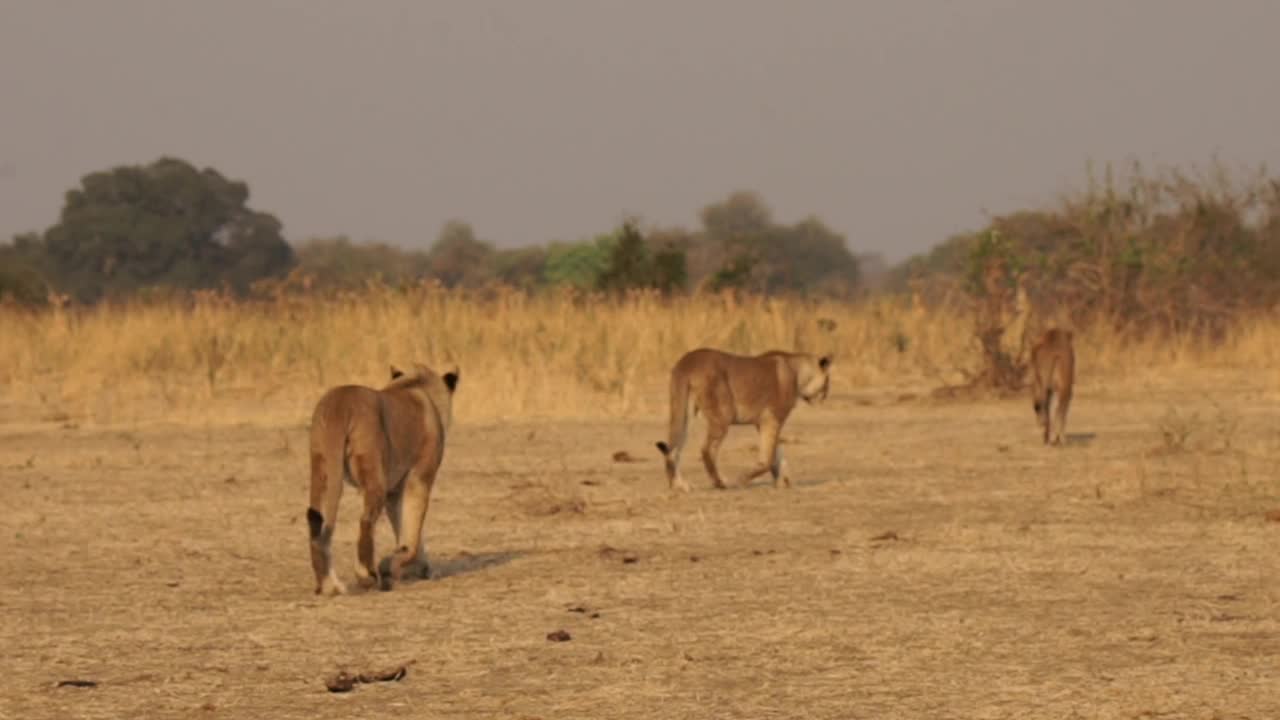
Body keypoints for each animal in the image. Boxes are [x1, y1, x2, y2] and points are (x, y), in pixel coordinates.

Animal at [304, 361, 460, 591]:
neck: (415, 385)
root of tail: (341, 404)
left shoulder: (394, 493)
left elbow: (406, 531)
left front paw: (420, 567)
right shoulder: (419, 478)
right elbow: (412, 532)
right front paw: (391, 565)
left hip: (323, 470)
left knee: (318, 525)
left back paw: (329, 586)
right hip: (373, 473)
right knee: (366, 521)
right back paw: (366, 574)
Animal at [655, 345, 834, 489]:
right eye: (827, 382)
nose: (825, 397)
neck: (797, 370)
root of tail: (687, 362)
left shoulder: (763, 422)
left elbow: (776, 453)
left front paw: (783, 481)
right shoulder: (772, 418)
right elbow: (768, 457)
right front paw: (744, 479)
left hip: (684, 415)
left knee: (673, 450)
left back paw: (679, 485)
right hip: (723, 415)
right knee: (707, 450)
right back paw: (719, 482)